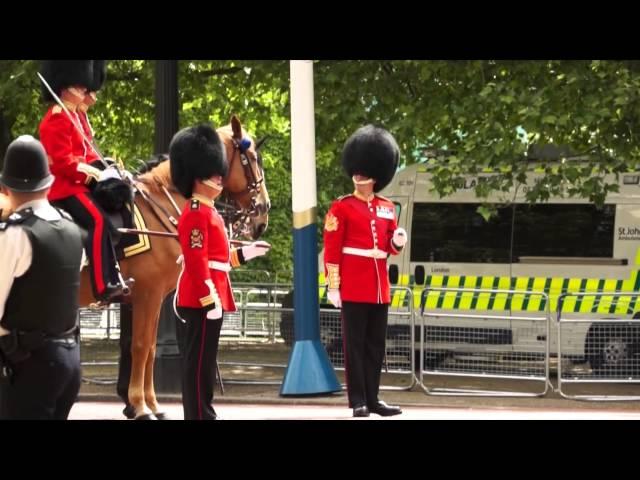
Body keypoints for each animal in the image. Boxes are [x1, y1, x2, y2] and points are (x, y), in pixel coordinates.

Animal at [75, 115, 270, 416]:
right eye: (252, 158)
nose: (263, 211)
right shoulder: (148, 294)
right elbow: (141, 346)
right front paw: (140, 405)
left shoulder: (146, 298)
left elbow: (150, 348)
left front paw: (151, 404)